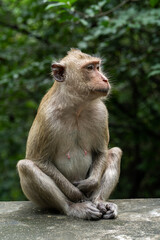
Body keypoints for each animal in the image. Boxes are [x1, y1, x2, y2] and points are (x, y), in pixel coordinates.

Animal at [16, 48, 122, 219]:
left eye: (97, 67)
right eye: (89, 68)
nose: (105, 79)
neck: (76, 108)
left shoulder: (101, 112)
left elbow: (101, 152)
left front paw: (88, 184)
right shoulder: (47, 118)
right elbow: (39, 160)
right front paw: (76, 194)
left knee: (114, 153)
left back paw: (100, 201)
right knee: (26, 166)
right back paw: (74, 207)